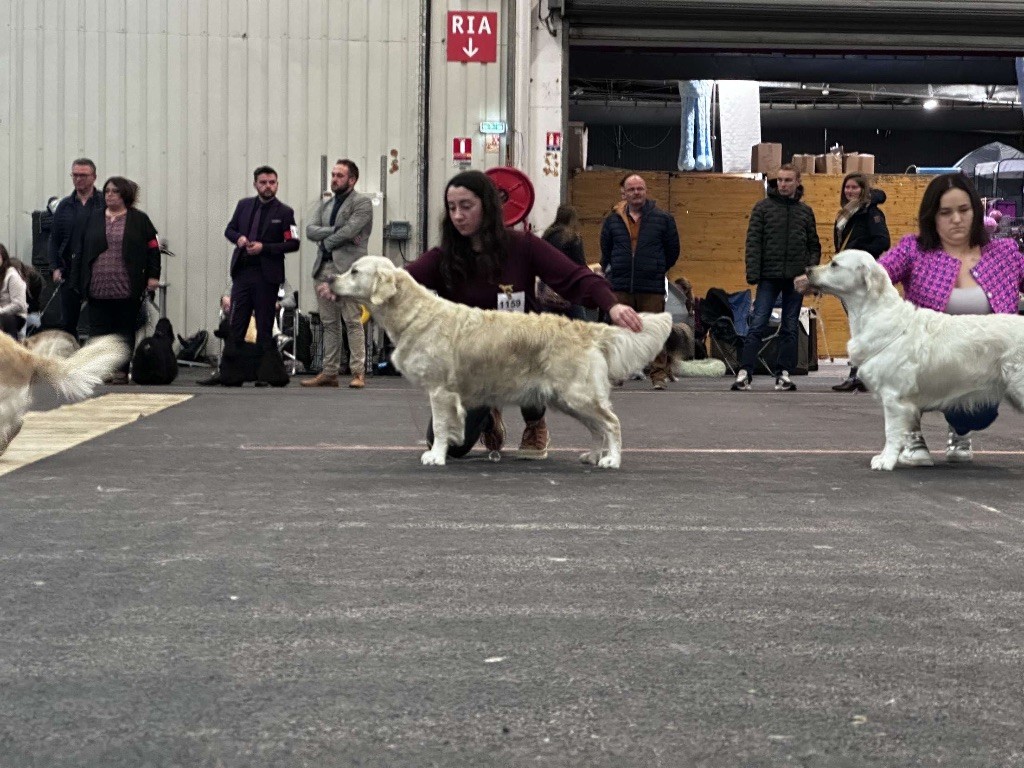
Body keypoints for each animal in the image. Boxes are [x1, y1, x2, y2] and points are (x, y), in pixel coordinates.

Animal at [333, 256, 688, 468]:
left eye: (354, 271)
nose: (329, 280)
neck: (414, 314)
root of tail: (587, 328)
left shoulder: (439, 390)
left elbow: (442, 425)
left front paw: (435, 455)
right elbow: (453, 425)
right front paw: (452, 445)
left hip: (578, 395)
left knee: (611, 423)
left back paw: (611, 460)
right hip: (569, 400)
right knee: (597, 427)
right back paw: (592, 455)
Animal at [806, 249, 1024, 473]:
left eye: (834, 264)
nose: (807, 270)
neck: (875, 314)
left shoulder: (893, 397)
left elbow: (891, 432)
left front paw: (886, 461)